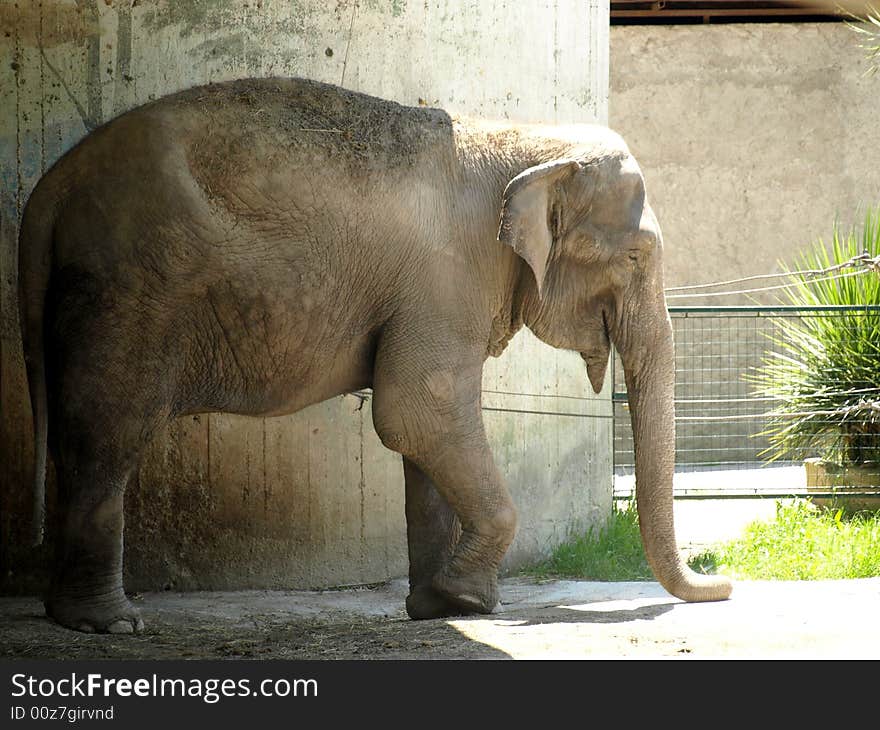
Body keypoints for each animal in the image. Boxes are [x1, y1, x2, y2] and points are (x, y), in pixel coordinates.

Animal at [17, 75, 732, 632]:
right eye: (636, 257)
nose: (723, 585)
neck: (527, 142)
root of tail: (52, 185)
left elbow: (424, 430)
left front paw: (443, 607)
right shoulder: (447, 276)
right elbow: (419, 410)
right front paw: (471, 602)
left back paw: (70, 613)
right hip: (131, 290)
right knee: (110, 433)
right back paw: (110, 622)